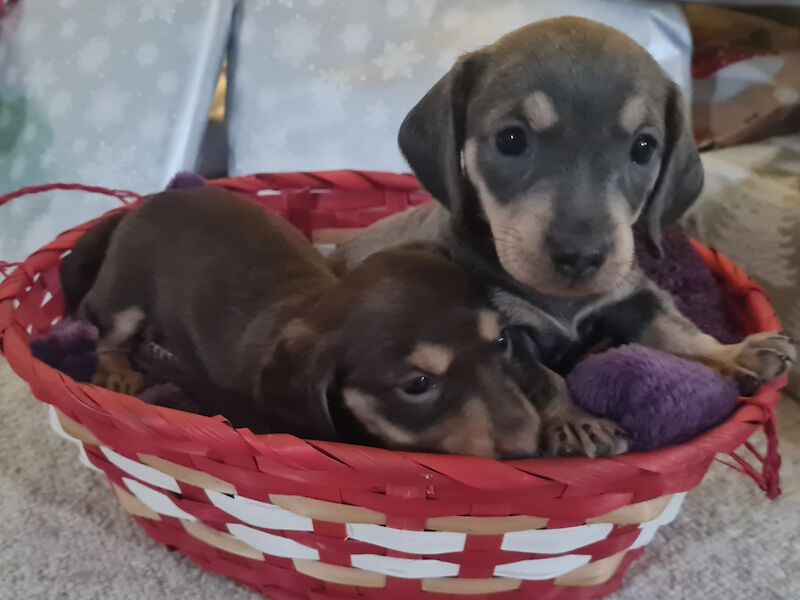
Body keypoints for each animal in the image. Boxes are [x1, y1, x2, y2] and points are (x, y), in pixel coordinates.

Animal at [57, 188, 544, 460]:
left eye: (502, 340)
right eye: (418, 384)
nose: (530, 447)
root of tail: (139, 206)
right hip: (124, 293)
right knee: (108, 330)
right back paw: (116, 373)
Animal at [330, 16, 792, 458]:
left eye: (644, 147)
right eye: (511, 138)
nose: (581, 256)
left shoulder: (630, 293)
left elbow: (676, 329)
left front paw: (733, 354)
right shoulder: (510, 331)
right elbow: (544, 377)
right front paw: (575, 421)